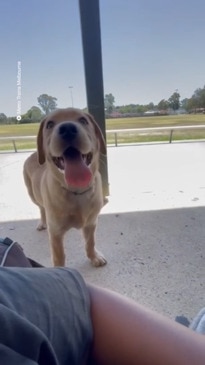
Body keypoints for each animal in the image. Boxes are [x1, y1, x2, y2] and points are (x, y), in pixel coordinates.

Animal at [23, 106, 107, 266]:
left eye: (83, 120)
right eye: (49, 124)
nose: (67, 128)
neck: (76, 191)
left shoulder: (91, 222)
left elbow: (90, 242)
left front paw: (93, 256)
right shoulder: (55, 232)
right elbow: (59, 255)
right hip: (32, 194)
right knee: (41, 208)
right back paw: (42, 222)